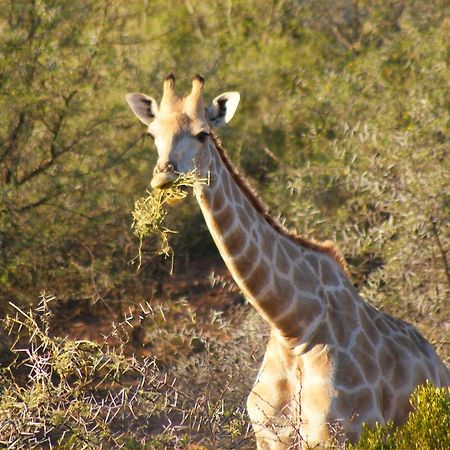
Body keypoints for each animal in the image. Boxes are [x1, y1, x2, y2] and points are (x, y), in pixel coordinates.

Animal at [125, 75, 450, 448]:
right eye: (152, 134)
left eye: (203, 133)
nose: (164, 176)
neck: (293, 328)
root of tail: (439, 365)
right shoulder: (269, 435)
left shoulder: (344, 434)